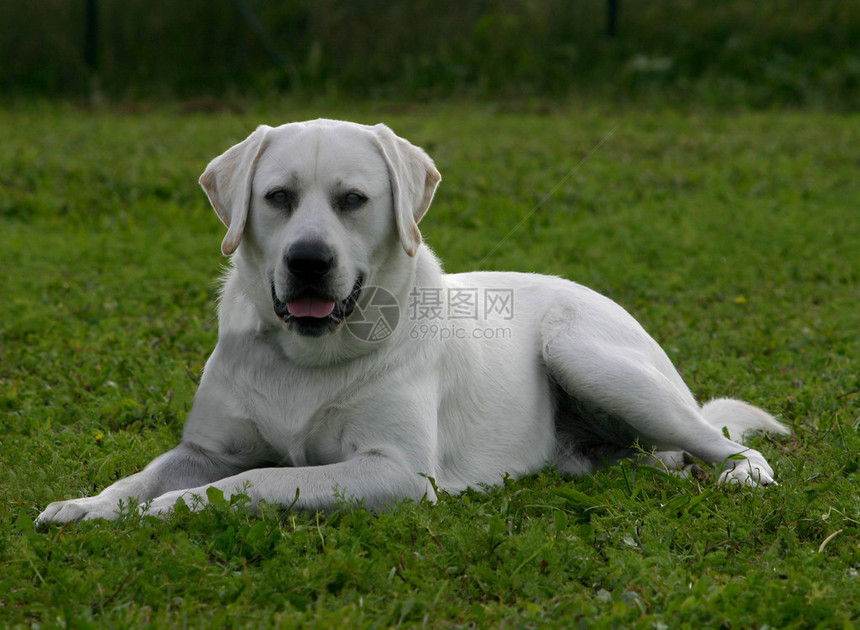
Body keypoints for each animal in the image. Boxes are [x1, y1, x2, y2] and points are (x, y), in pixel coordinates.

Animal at [35, 121, 788, 524]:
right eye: (277, 197)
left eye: (352, 199)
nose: (309, 261)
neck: (306, 356)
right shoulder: (205, 448)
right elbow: (144, 476)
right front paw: (89, 506)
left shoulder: (393, 470)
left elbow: (257, 480)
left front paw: (178, 508)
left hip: (586, 354)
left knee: (727, 444)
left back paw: (738, 477)